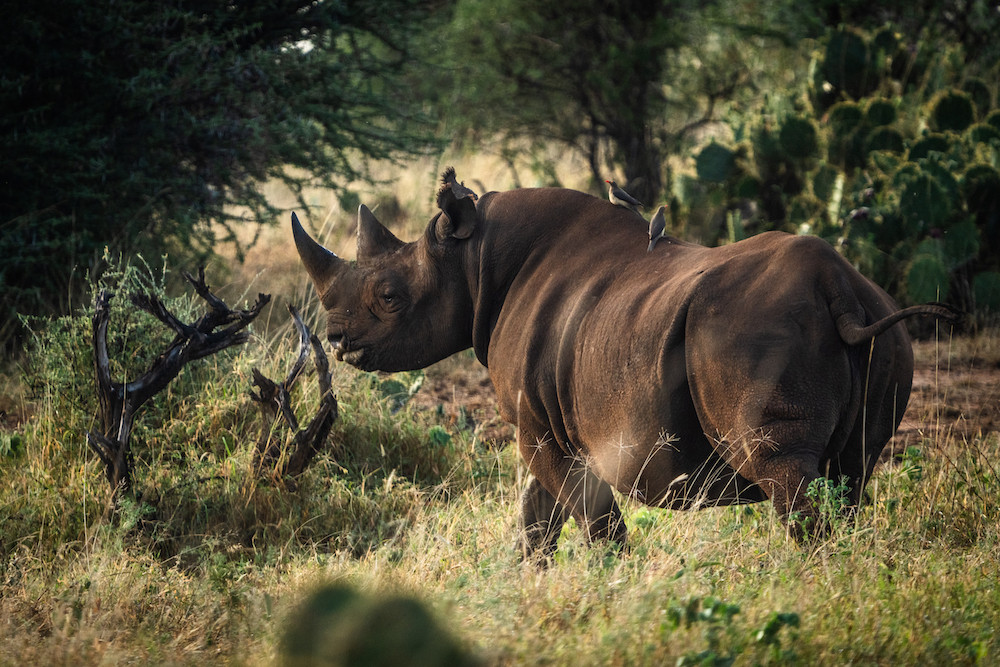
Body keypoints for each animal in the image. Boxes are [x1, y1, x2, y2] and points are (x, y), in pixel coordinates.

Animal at [292, 169, 957, 556]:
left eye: (389, 297)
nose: (338, 339)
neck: (473, 259)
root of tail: (839, 288)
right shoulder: (547, 421)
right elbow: (536, 516)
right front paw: (530, 580)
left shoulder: (542, 427)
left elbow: (590, 519)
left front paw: (612, 581)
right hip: (886, 334)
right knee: (853, 471)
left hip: (755, 335)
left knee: (784, 473)